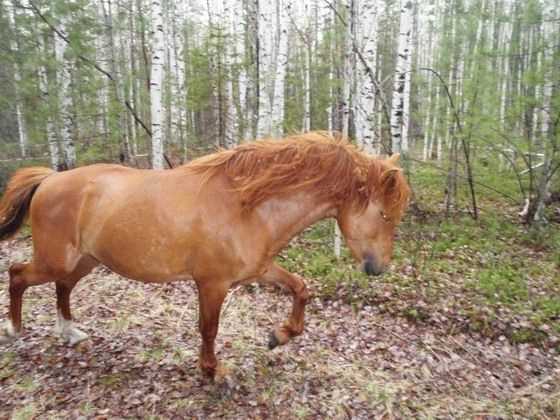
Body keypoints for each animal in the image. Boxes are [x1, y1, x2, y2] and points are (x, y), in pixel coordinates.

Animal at [0, 133, 412, 378]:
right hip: (56, 258)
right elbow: (209, 328)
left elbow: (300, 288)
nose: (379, 268)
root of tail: (50, 179)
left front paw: (279, 336)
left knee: (62, 287)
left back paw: (70, 332)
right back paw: (15, 330)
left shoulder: (258, 270)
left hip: (85, 260)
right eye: (384, 215)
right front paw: (213, 371)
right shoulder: (212, 284)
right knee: (18, 274)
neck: (248, 205)